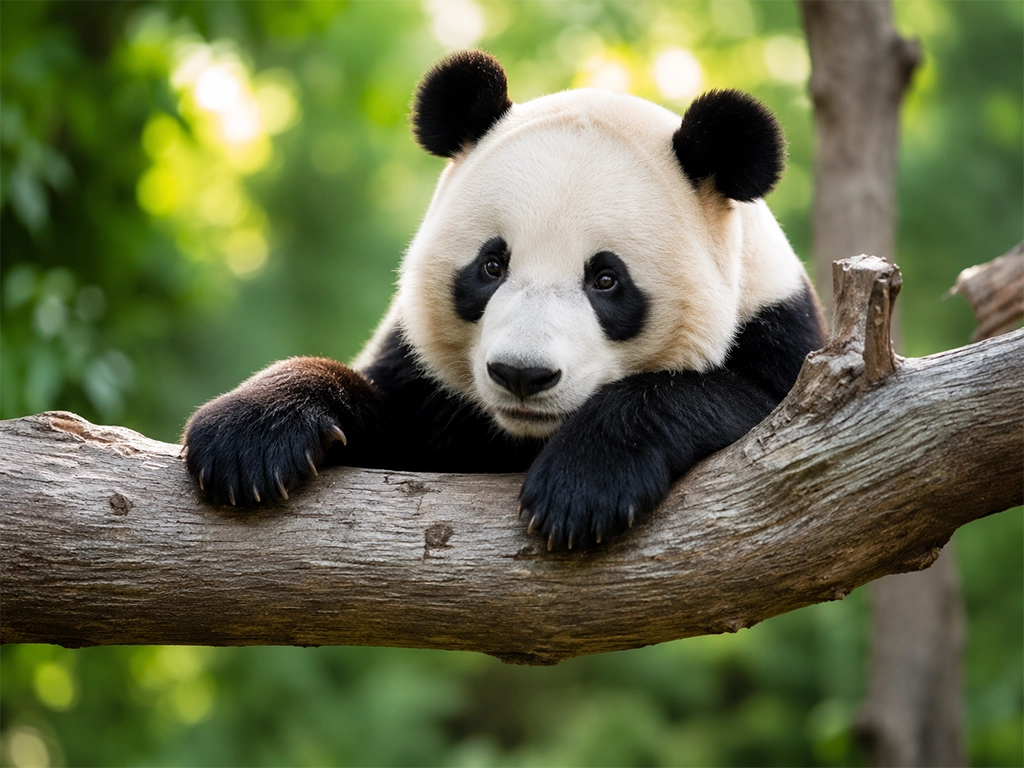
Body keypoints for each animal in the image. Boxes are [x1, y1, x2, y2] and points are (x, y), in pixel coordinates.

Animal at [183, 50, 826, 550]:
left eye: (606, 280)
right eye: (492, 266)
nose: (521, 375)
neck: (522, 435)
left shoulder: (778, 335)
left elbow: (730, 399)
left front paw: (581, 489)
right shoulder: (426, 400)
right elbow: (383, 413)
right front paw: (246, 440)